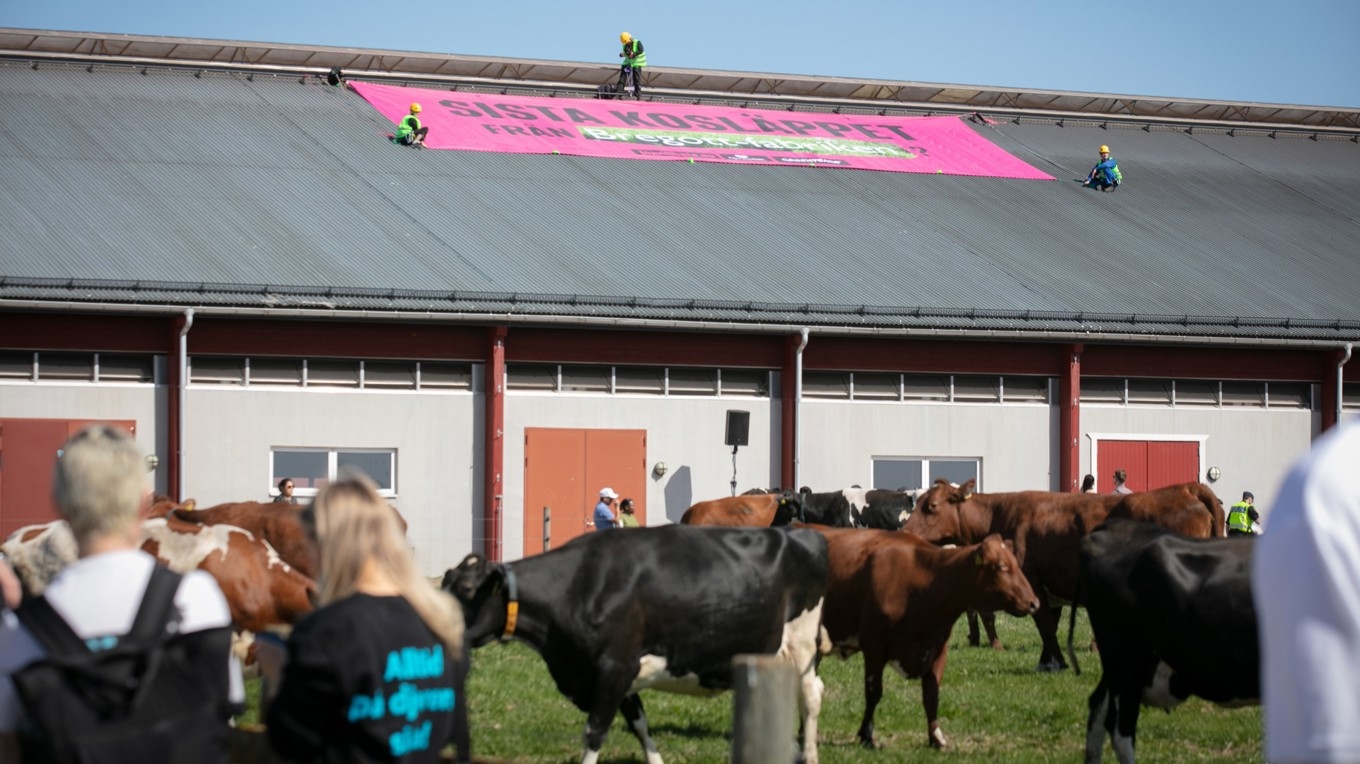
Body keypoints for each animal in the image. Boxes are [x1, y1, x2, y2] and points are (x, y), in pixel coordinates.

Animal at [446, 522, 826, 761]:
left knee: (810, 696)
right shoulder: (618, 673)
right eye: (444, 583)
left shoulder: (615, 665)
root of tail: (800, 532)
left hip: (801, 643)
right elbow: (640, 726)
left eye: (467, 589)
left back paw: (809, 754)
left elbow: (594, 732)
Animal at [810, 527, 1033, 744]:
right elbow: (873, 691)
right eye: (1002, 567)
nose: (1034, 602)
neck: (923, 581)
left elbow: (931, 695)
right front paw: (867, 735)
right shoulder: (874, 646)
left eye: (1016, 564)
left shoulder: (937, 648)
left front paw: (936, 737)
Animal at [903, 478, 1224, 668]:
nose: (905, 532)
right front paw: (1047, 661)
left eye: (931, 506)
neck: (999, 513)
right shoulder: (1050, 585)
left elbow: (1044, 622)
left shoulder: (1032, 580)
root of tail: (1185, 488)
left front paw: (1057, 662)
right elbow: (1050, 625)